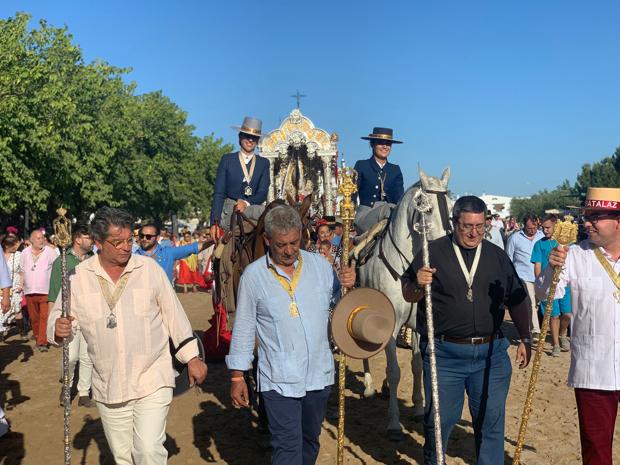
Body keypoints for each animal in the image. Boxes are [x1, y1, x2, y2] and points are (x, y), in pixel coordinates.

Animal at [356, 167, 452, 438]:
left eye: (452, 206)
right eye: (427, 209)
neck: (407, 271)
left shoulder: (418, 326)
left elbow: (417, 365)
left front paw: (419, 409)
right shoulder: (390, 325)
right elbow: (395, 371)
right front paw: (394, 424)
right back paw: (369, 387)